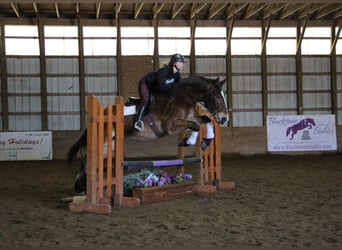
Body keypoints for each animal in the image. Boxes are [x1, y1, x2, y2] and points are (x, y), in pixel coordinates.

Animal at [67, 76, 228, 193]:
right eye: (216, 96)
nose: (224, 119)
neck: (183, 98)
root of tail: (104, 112)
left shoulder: (190, 118)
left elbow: (206, 120)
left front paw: (205, 141)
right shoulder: (170, 126)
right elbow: (195, 125)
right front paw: (189, 141)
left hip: (110, 144)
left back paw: (82, 186)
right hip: (104, 141)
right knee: (87, 156)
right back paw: (81, 186)